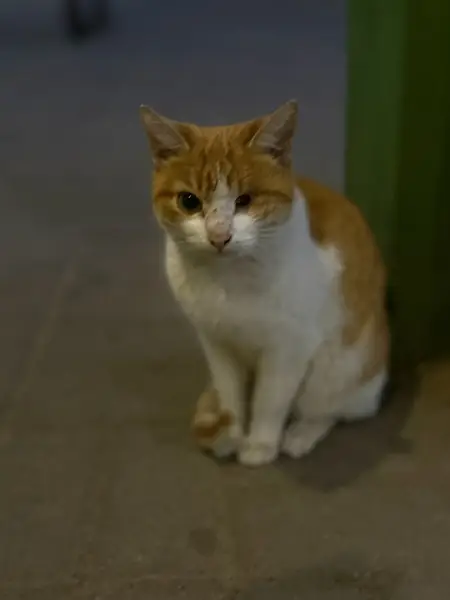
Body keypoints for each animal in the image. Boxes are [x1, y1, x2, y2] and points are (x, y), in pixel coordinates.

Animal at [140, 100, 389, 467]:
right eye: (189, 201)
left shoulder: (288, 349)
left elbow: (269, 401)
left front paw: (259, 444)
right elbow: (230, 396)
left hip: (341, 366)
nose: (219, 236)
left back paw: (301, 434)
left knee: (329, 409)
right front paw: (232, 435)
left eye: (245, 201)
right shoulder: (216, 342)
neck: (227, 281)